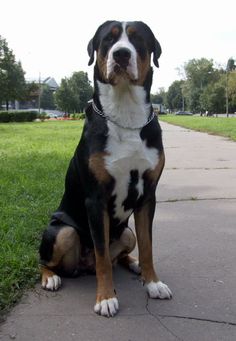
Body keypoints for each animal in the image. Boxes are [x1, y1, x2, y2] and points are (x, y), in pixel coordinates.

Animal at [38, 20, 171, 316]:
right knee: (46, 260)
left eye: (137, 39)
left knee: (122, 254)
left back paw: (134, 265)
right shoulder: (95, 200)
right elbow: (101, 257)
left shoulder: (148, 196)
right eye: (108, 41)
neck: (125, 114)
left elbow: (148, 246)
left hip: (126, 233)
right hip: (62, 231)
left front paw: (153, 282)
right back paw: (50, 278)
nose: (121, 54)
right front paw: (106, 298)